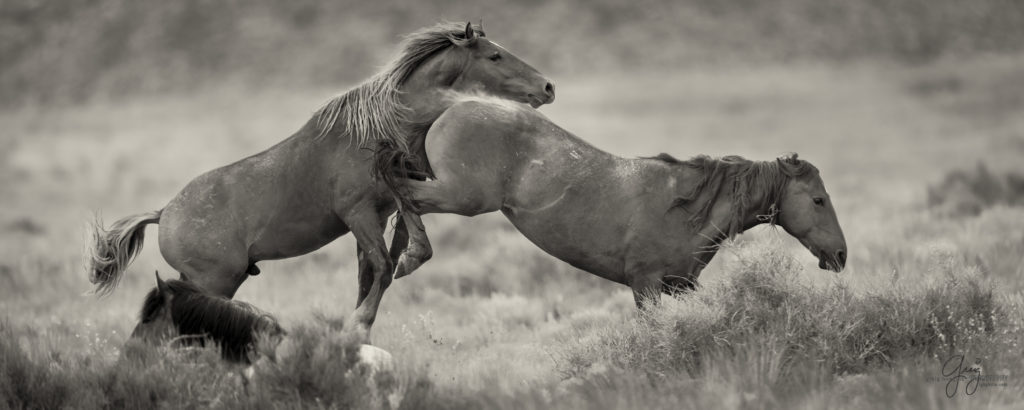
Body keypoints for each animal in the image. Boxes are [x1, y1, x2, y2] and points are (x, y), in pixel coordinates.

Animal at [88, 22, 556, 339]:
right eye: (494, 56)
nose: (548, 87)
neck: (380, 127)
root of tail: (163, 213)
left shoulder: (384, 213)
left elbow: (380, 270)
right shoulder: (358, 214)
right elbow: (382, 269)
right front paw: (357, 326)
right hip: (214, 281)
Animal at [392, 98, 847, 306]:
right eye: (818, 200)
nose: (841, 255)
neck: (685, 209)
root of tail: (453, 108)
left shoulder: (681, 287)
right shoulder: (645, 285)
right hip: (461, 196)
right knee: (402, 191)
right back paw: (411, 256)